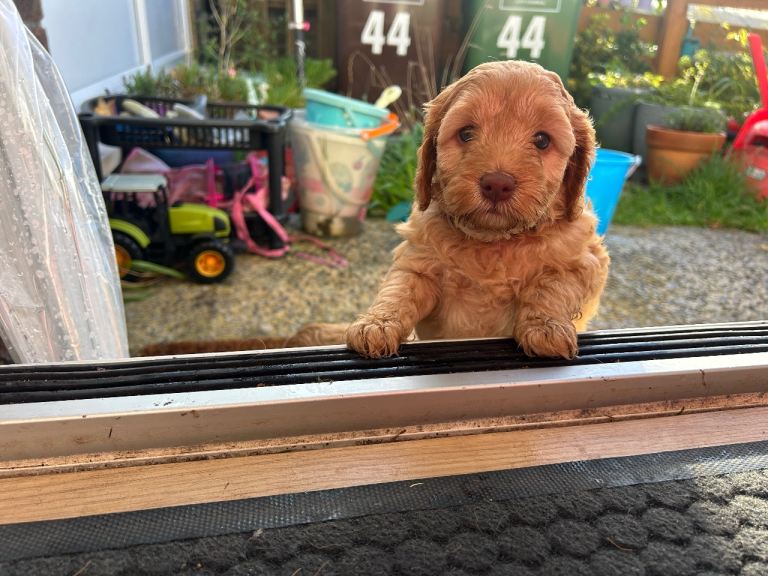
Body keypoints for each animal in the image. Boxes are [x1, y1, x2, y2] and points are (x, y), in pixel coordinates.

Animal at [292, 61, 609, 360]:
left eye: (542, 140)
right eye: (466, 133)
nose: (497, 183)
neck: (494, 242)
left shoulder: (583, 260)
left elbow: (553, 285)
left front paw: (546, 327)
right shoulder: (419, 260)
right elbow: (400, 288)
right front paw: (377, 324)